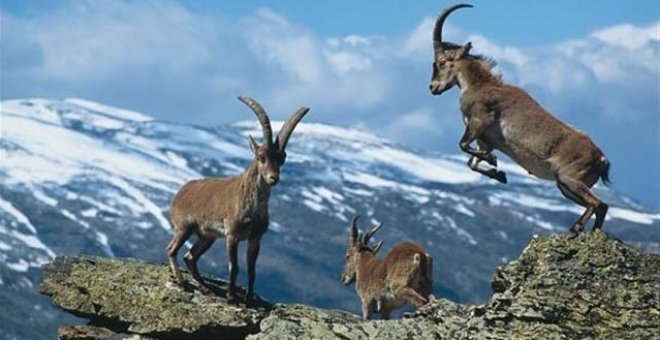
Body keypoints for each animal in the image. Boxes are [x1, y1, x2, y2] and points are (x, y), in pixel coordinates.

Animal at [165, 95, 310, 300]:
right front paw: (231, 296)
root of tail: (179, 194)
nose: (273, 178)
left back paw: (204, 286)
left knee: (190, 256)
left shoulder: (255, 238)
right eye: (261, 157)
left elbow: (252, 270)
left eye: (282, 158)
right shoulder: (232, 235)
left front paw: (249, 298)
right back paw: (182, 281)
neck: (253, 205)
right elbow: (234, 266)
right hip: (184, 227)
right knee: (172, 250)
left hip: (206, 236)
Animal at [430, 3, 612, 236]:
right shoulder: (484, 139)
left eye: (442, 62)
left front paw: (494, 162)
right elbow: (471, 162)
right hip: (566, 186)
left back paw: (575, 229)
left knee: (598, 204)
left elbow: (463, 146)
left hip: (570, 179)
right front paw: (499, 174)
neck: (479, 85)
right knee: (600, 206)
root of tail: (602, 159)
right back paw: (588, 233)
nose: (433, 87)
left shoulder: (479, 121)